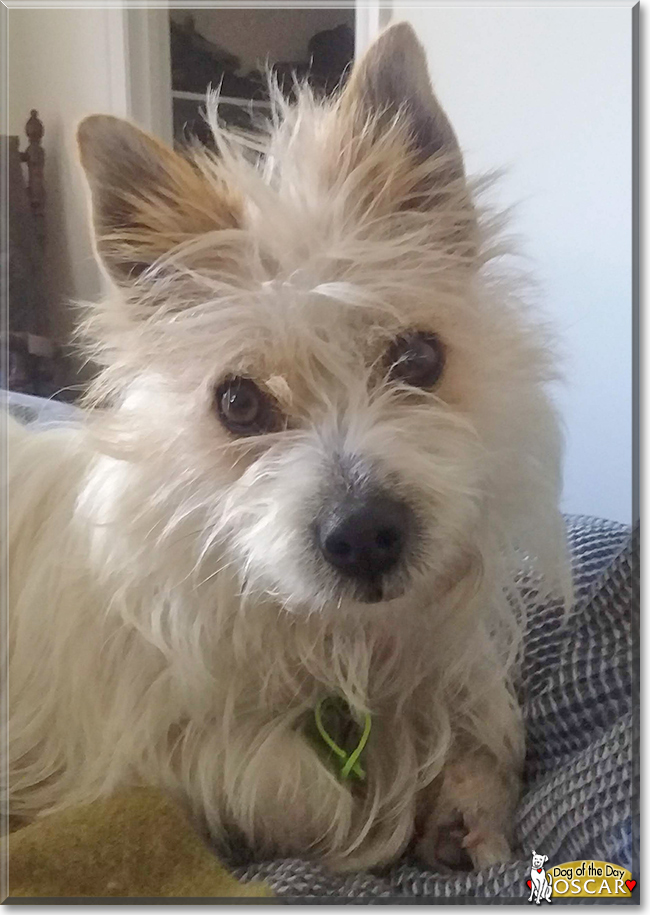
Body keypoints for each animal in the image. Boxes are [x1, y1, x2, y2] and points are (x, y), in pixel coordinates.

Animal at [5, 23, 568, 872]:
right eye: (238, 402)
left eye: (418, 358)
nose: (365, 536)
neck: (326, 644)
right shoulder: (148, 754)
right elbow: (292, 790)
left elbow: (487, 731)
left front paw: (470, 804)